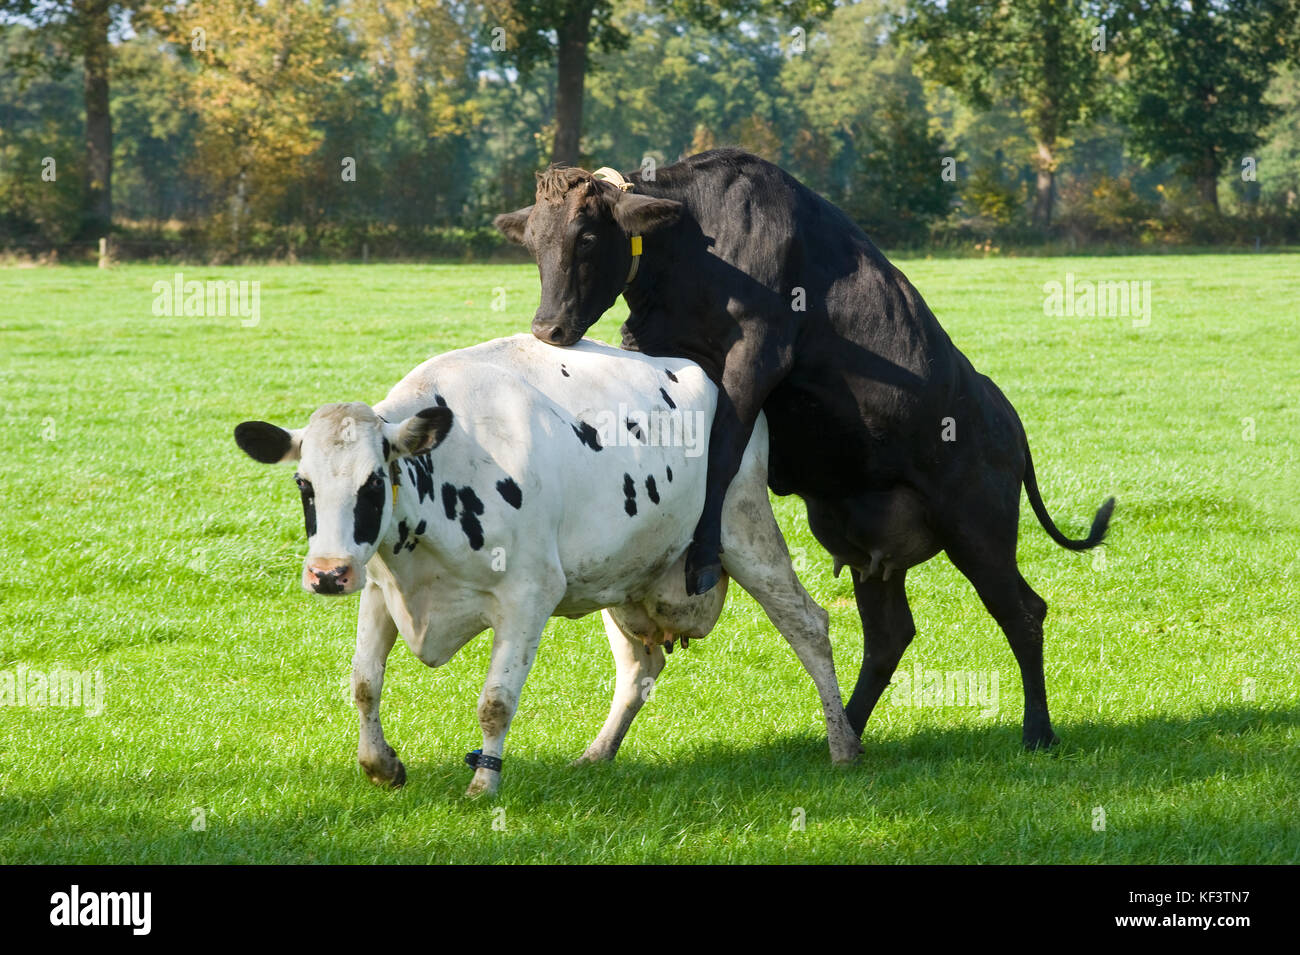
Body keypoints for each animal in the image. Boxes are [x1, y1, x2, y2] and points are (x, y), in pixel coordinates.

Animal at [234, 334, 862, 797]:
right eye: (304, 484)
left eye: (371, 483)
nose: (328, 573)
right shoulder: (382, 592)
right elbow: (364, 683)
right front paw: (382, 766)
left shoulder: (528, 595)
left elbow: (495, 702)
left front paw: (483, 785)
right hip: (623, 576)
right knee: (640, 667)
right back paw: (598, 753)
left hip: (745, 530)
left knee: (809, 626)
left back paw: (843, 745)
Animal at [493, 149, 1115, 752]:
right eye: (533, 244)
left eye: (587, 237)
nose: (548, 328)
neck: (697, 244)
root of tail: (1005, 416)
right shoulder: (651, 340)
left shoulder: (759, 352)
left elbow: (723, 451)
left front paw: (702, 556)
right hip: (875, 549)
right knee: (890, 635)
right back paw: (848, 731)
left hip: (979, 529)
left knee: (1023, 611)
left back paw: (1037, 730)